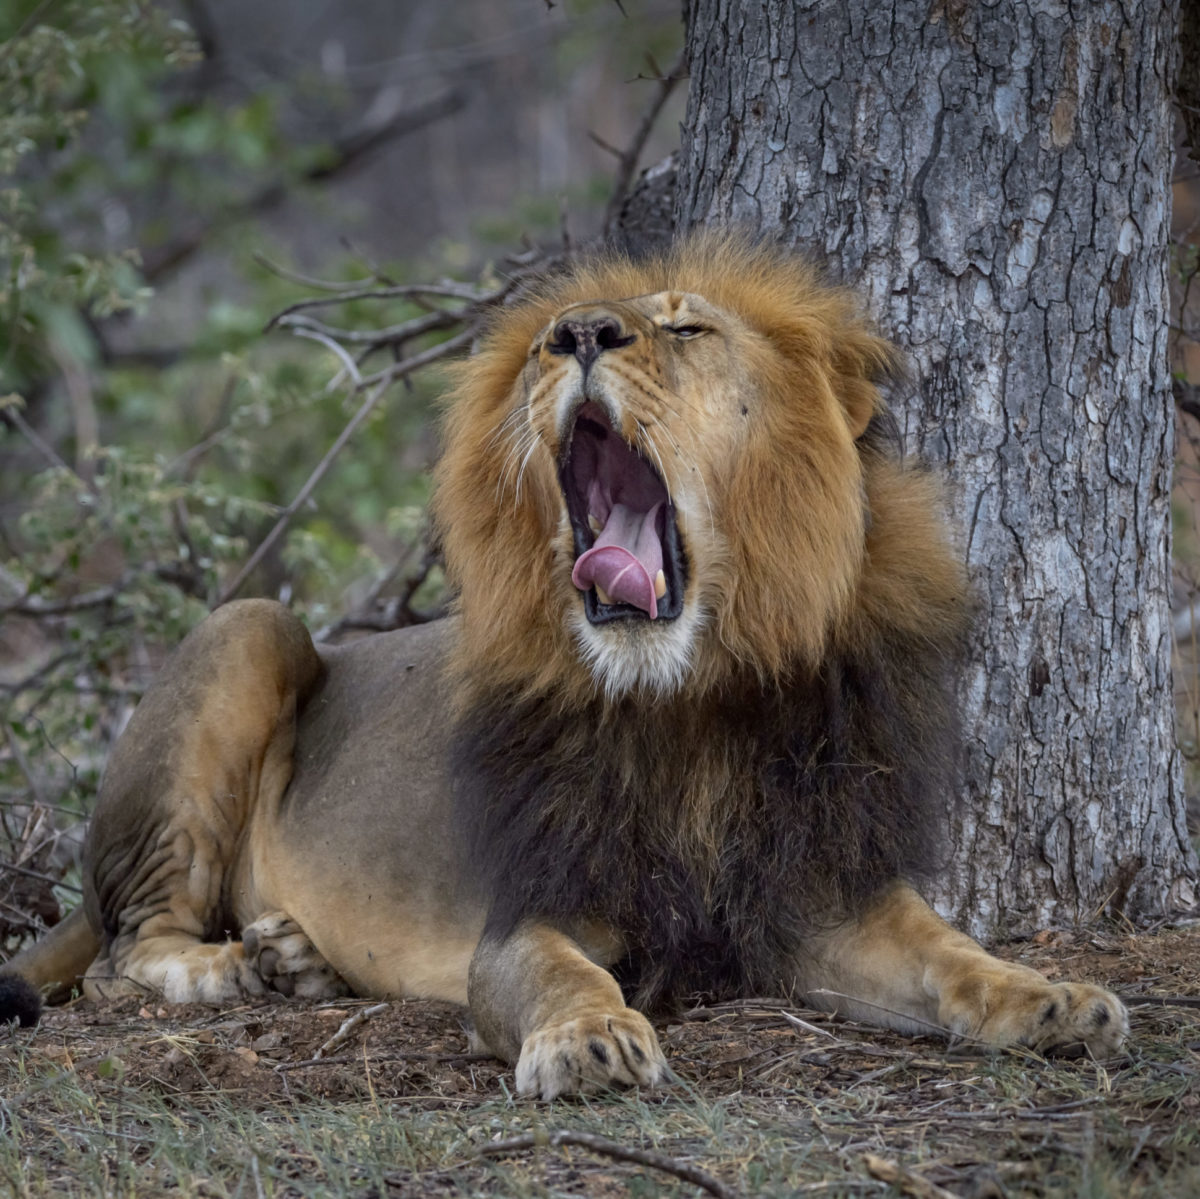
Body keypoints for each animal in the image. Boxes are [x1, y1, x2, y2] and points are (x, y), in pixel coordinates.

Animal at [1, 235, 1127, 1096]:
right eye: (557, 338)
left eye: (687, 328)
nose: (579, 333)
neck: (682, 699)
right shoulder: (526, 912)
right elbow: (559, 976)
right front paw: (589, 1037)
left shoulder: (817, 887)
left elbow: (947, 948)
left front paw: (1050, 998)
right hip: (250, 625)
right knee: (123, 950)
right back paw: (240, 968)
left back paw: (297, 961)